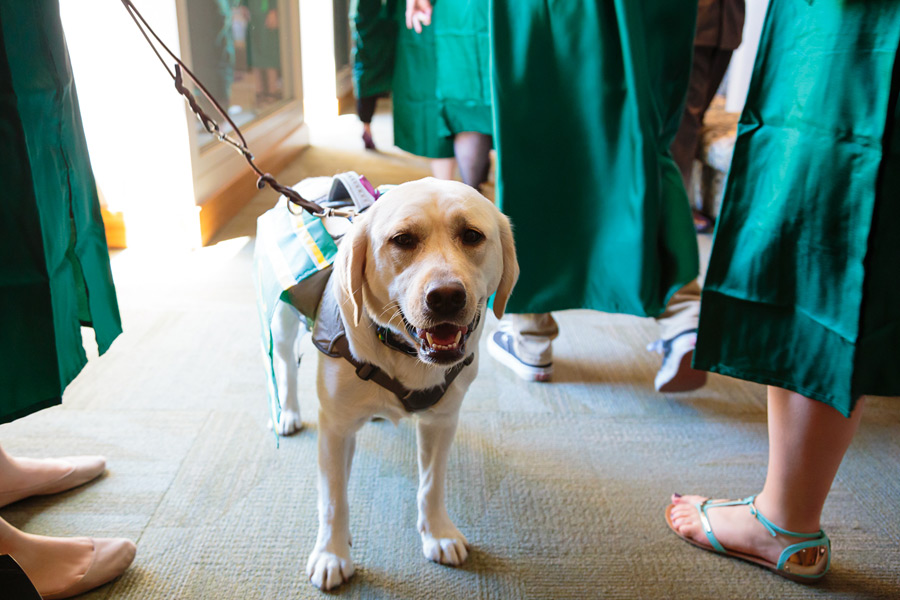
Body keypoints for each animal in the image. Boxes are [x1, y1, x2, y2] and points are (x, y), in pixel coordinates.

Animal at [280, 176, 520, 588]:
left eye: (472, 235)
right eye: (403, 240)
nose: (446, 297)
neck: (403, 351)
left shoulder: (442, 421)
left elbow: (431, 486)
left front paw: (438, 533)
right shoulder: (335, 428)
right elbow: (333, 500)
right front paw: (331, 553)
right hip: (279, 326)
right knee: (285, 368)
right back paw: (288, 413)